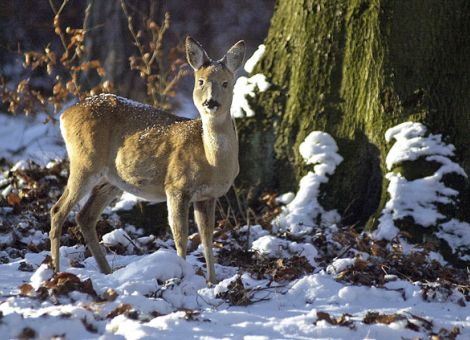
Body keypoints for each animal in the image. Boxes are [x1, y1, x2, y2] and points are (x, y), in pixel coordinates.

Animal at [49, 36, 244, 284]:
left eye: (226, 83)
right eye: (201, 81)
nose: (211, 102)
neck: (212, 162)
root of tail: (65, 115)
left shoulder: (207, 196)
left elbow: (207, 239)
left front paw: (212, 281)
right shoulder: (176, 187)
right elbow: (180, 237)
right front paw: (182, 275)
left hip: (111, 180)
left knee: (85, 216)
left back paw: (107, 272)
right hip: (84, 161)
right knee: (58, 210)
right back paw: (56, 271)